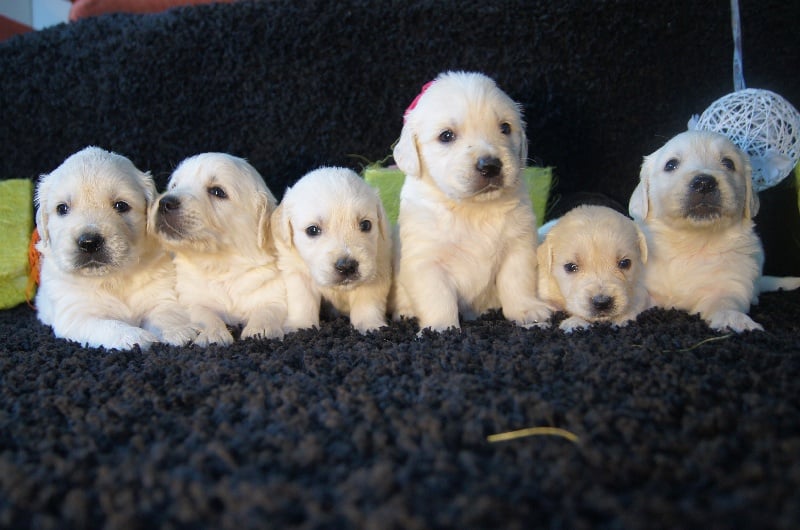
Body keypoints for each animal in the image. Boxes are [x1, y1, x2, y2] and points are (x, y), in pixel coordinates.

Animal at [34, 146, 197, 348]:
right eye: (62, 208)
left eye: (121, 205)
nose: (89, 242)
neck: (113, 278)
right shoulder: (76, 313)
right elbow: (107, 325)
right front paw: (134, 337)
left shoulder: (161, 293)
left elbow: (165, 313)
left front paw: (178, 331)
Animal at [152, 152, 286, 346]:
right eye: (174, 186)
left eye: (217, 191)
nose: (165, 203)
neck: (221, 264)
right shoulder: (190, 296)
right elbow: (203, 313)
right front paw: (212, 334)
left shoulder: (275, 290)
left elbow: (268, 308)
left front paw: (261, 329)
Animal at [270, 167, 392, 332]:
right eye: (312, 230)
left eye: (366, 225)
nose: (347, 266)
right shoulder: (297, 272)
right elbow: (303, 301)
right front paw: (301, 326)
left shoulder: (378, 268)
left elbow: (367, 300)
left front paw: (370, 325)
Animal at [388, 70, 552, 330]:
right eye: (446, 136)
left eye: (505, 128)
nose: (490, 166)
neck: (471, 208)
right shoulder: (425, 260)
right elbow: (438, 296)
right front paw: (441, 328)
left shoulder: (519, 244)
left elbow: (517, 280)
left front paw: (527, 311)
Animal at [628, 129, 796, 330]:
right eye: (671, 164)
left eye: (728, 163)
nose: (704, 183)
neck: (691, 241)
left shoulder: (732, 280)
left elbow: (725, 300)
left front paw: (733, 319)